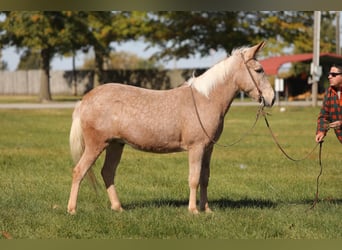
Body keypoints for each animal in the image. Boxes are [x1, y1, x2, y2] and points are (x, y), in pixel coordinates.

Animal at [67, 40, 276, 213]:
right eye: (259, 70)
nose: (271, 98)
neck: (206, 98)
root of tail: (85, 100)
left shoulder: (208, 148)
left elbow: (204, 178)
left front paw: (207, 210)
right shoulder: (196, 148)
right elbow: (194, 179)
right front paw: (193, 210)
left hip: (115, 145)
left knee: (107, 172)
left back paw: (118, 208)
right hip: (96, 145)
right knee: (79, 171)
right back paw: (72, 210)